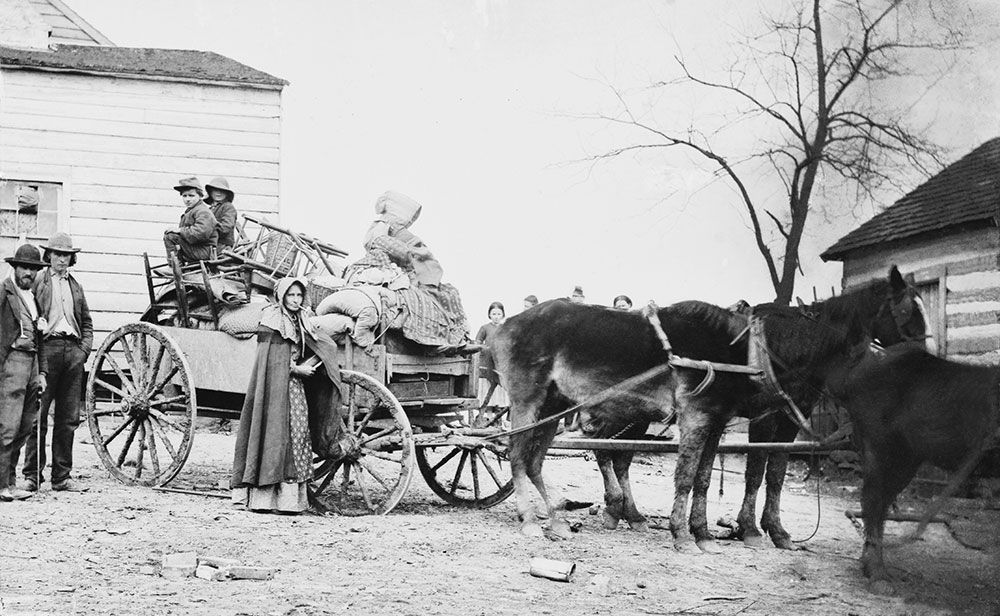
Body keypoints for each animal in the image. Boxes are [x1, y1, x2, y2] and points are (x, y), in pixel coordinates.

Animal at [496, 268, 932, 548]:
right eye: (907, 311)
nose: (925, 361)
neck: (758, 350)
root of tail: (505, 326)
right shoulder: (708, 416)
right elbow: (696, 475)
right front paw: (690, 534)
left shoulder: (723, 420)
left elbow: (720, 477)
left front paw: (709, 532)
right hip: (530, 402)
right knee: (519, 454)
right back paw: (533, 521)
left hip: (559, 406)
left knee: (542, 459)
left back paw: (563, 518)